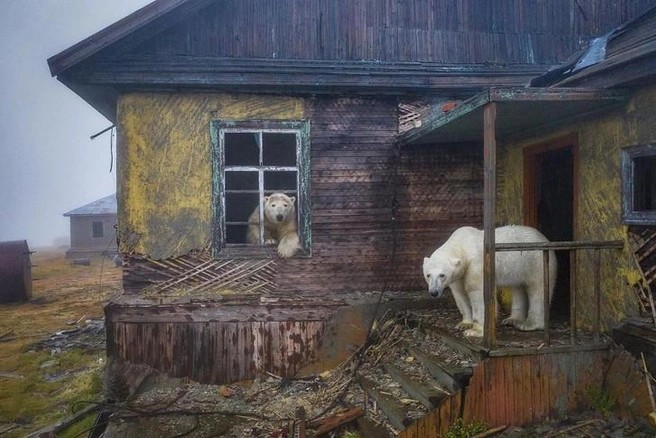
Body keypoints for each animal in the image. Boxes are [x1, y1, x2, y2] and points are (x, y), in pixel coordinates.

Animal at [422, 224, 556, 338]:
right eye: (428, 275)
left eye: (442, 275)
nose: (434, 292)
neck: (461, 245)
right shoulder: (458, 275)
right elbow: (460, 294)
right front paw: (464, 323)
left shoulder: (476, 265)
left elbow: (478, 293)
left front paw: (475, 331)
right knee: (518, 287)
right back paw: (512, 319)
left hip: (535, 261)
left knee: (538, 290)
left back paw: (529, 324)